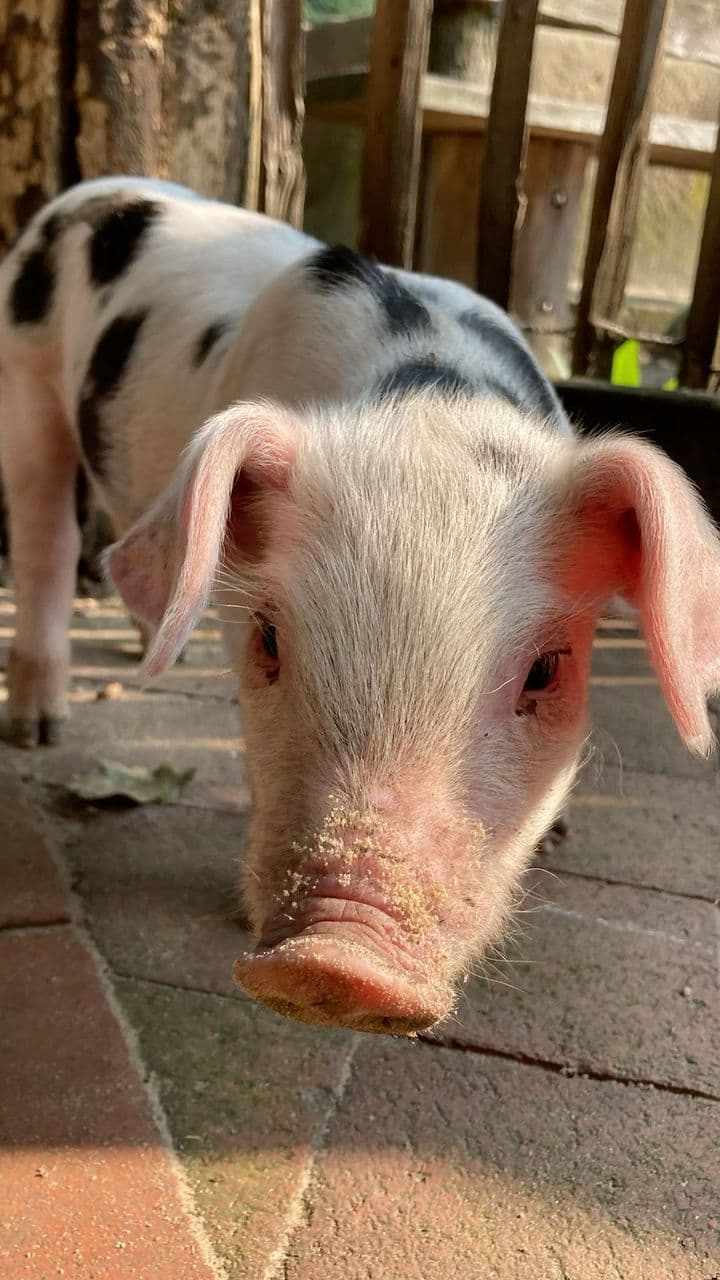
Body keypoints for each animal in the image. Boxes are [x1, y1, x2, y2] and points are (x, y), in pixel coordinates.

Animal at [1, 176, 719, 1036]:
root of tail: (94, 191)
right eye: (269, 639)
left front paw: (556, 840)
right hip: (25, 382)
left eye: (548, 670)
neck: (428, 406)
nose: (337, 958)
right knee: (46, 535)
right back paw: (38, 732)